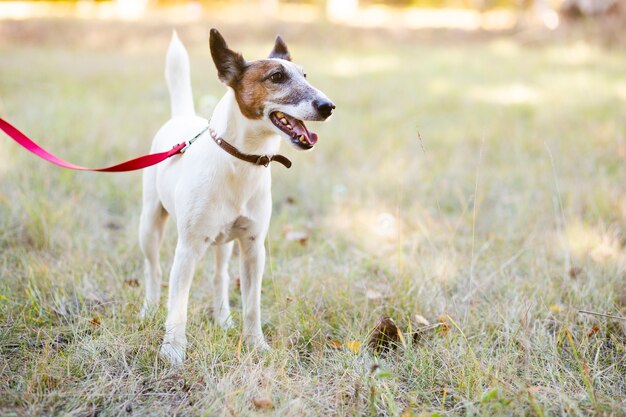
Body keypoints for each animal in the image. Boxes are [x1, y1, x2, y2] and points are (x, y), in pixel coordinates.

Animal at [139, 28, 334, 364]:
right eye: (277, 76)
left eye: (305, 75)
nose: (328, 106)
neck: (242, 161)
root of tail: (183, 116)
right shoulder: (187, 249)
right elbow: (178, 306)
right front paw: (173, 349)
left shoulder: (253, 248)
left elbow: (251, 305)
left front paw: (256, 344)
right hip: (150, 224)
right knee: (153, 270)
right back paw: (149, 308)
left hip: (224, 243)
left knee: (220, 276)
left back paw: (223, 318)